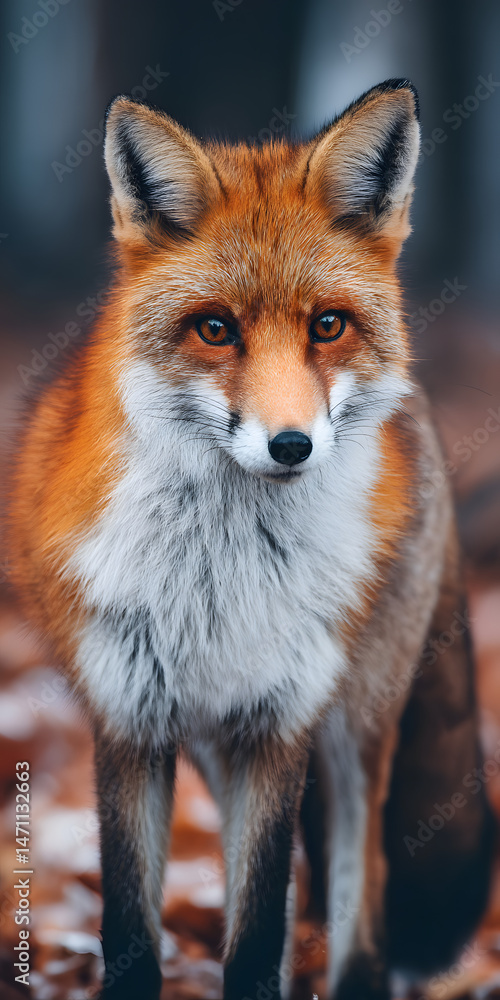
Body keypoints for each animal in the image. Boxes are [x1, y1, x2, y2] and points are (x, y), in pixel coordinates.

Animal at [6, 78, 495, 1000]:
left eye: (328, 326)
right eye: (216, 329)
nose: (291, 445)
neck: (219, 578)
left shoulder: (280, 722)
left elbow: (259, 932)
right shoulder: (130, 721)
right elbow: (136, 932)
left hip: (355, 722)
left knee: (362, 897)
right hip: (213, 752)